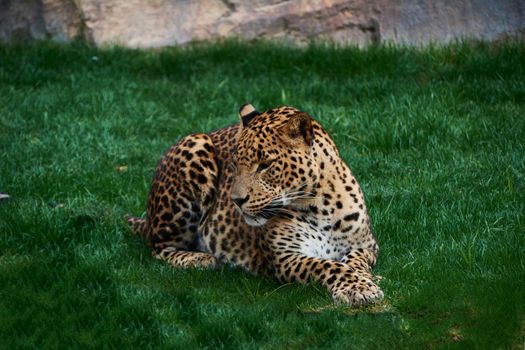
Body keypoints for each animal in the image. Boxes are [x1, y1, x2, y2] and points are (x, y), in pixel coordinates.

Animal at [127, 104, 380, 306]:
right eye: (234, 164)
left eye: (265, 165)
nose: (236, 201)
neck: (320, 205)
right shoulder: (286, 258)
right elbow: (327, 266)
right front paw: (358, 287)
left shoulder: (367, 246)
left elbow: (355, 261)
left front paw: (365, 279)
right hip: (194, 148)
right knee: (158, 247)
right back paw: (200, 258)